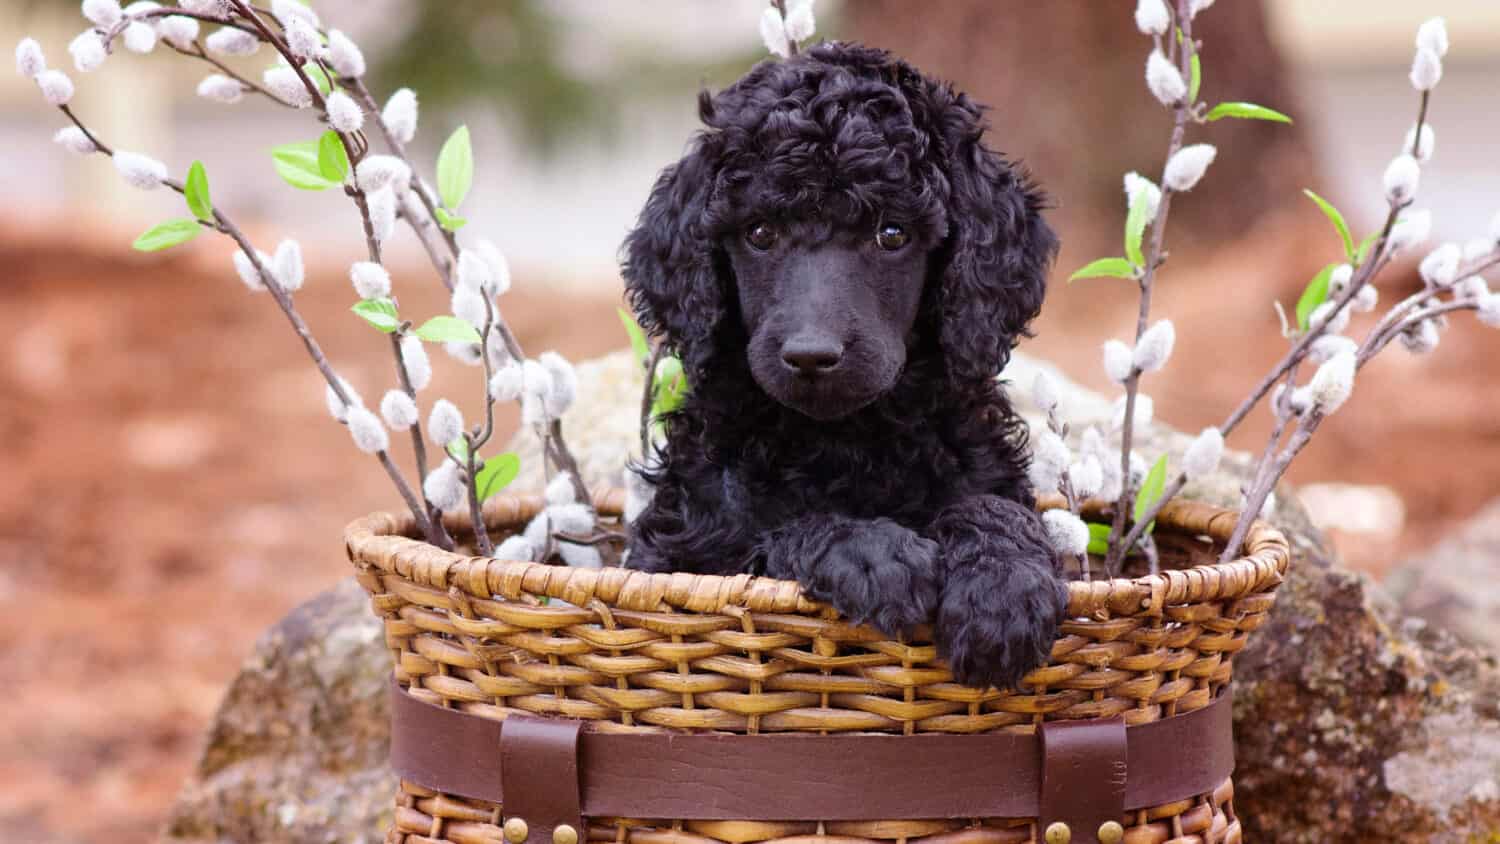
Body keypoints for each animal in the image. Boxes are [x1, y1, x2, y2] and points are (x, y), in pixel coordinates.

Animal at [621, 39, 1068, 692]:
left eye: (892, 233)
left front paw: (1003, 592)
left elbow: (996, 508)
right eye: (760, 232)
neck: (847, 439)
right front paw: (872, 553)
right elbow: (770, 536)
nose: (812, 354)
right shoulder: (682, 554)